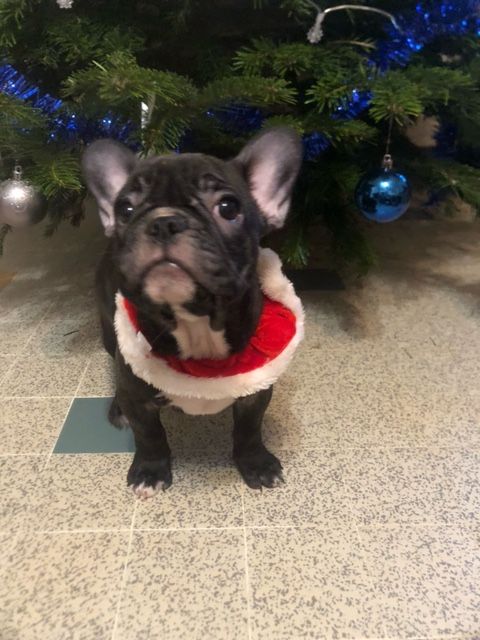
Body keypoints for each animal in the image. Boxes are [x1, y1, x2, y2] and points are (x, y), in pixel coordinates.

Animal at [82, 127, 303, 498]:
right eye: (125, 208)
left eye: (228, 207)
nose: (163, 222)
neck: (195, 322)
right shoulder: (139, 398)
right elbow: (150, 436)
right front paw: (150, 471)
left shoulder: (255, 392)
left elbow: (249, 430)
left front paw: (256, 464)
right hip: (110, 335)